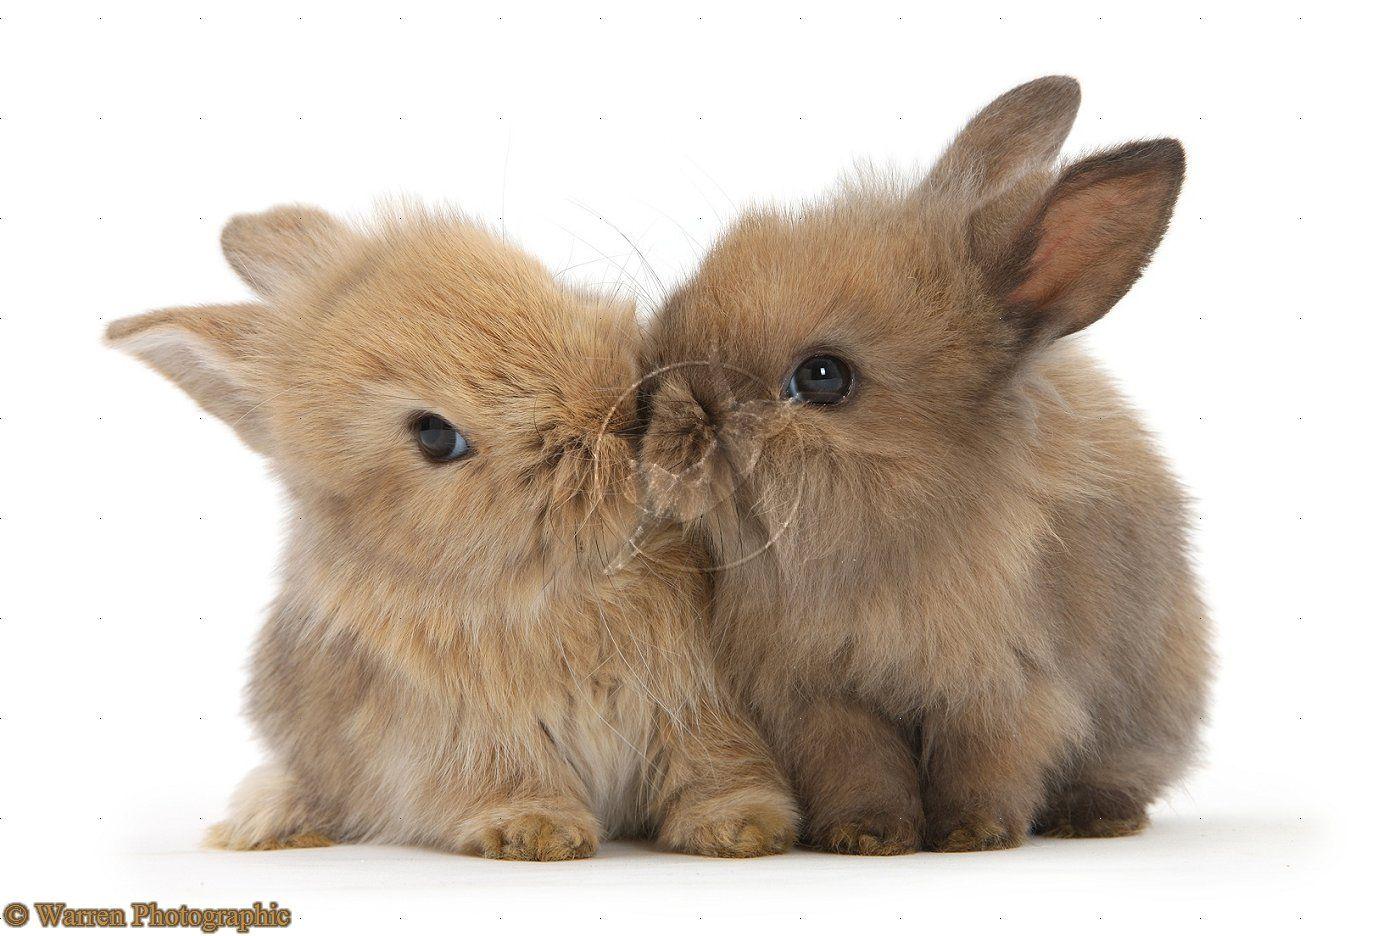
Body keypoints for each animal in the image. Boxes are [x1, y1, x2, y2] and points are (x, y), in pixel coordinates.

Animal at [106, 204, 797, 860]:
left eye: (546, 281)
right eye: (435, 436)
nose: (624, 415)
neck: (570, 578)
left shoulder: (700, 703)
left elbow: (714, 764)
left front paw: (742, 828)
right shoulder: (466, 733)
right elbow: (506, 776)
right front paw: (533, 832)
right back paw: (268, 822)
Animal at [638, 76, 1213, 854]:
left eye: (822, 377)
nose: (661, 407)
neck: (888, 534)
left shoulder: (1005, 690)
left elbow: (984, 766)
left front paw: (973, 833)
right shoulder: (821, 696)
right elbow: (862, 768)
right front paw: (869, 836)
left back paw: (1094, 818)